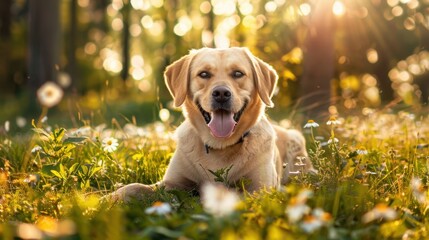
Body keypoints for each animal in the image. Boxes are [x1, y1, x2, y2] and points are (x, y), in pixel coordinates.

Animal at [108, 47, 312, 202]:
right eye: (204, 74)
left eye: (238, 73)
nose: (221, 93)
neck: (220, 146)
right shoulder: (171, 183)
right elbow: (135, 186)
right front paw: (108, 199)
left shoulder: (259, 188)